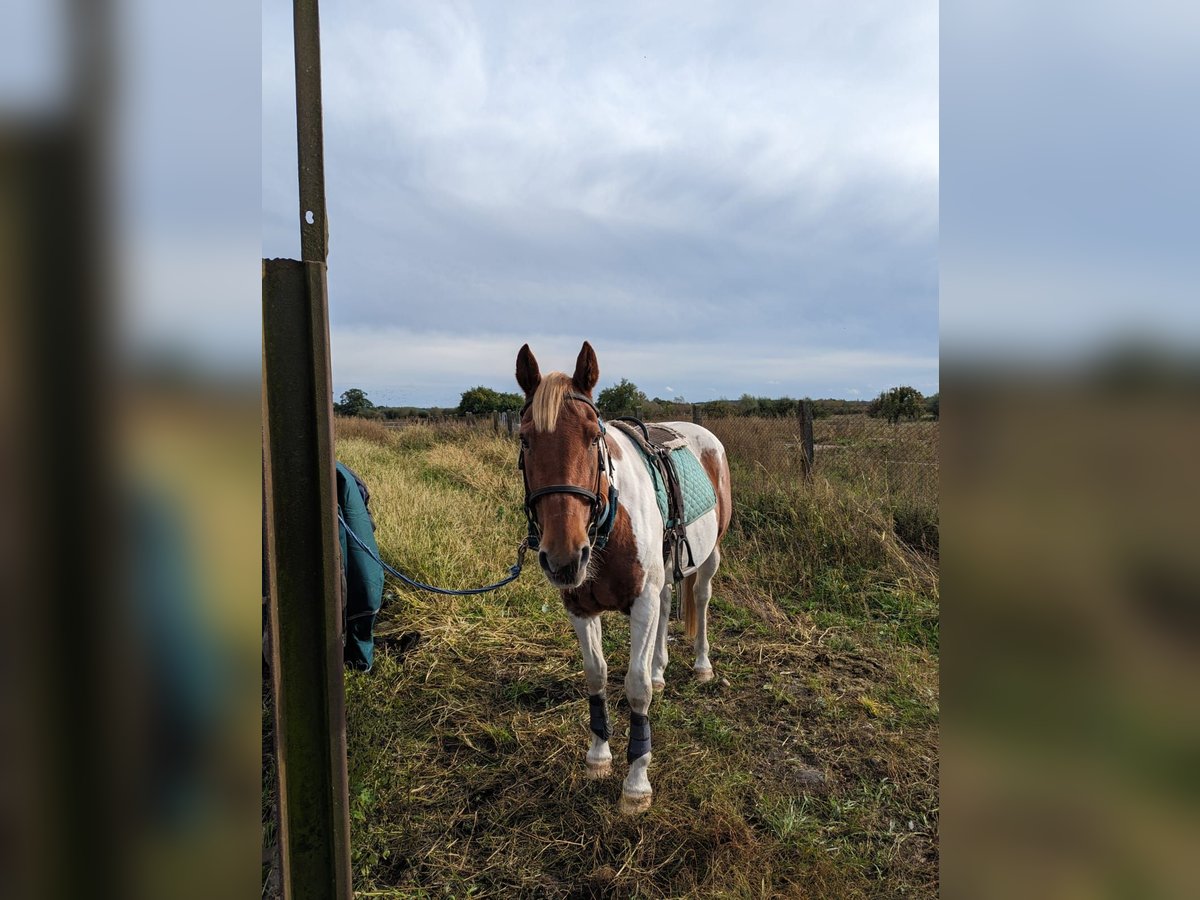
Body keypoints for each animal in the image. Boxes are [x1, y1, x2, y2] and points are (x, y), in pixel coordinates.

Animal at [511, 340, 724, 816]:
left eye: (594, 436)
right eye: (525, 439)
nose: (564, 557)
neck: (607, 525)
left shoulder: (640, 602)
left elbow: (636, 687)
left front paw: (637, 781)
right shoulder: (579, 607)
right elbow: (597, 675)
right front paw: (598, 756)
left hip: (710, 556)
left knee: (700, 598)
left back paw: (701, 665)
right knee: (668, 604)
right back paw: (662, 667)